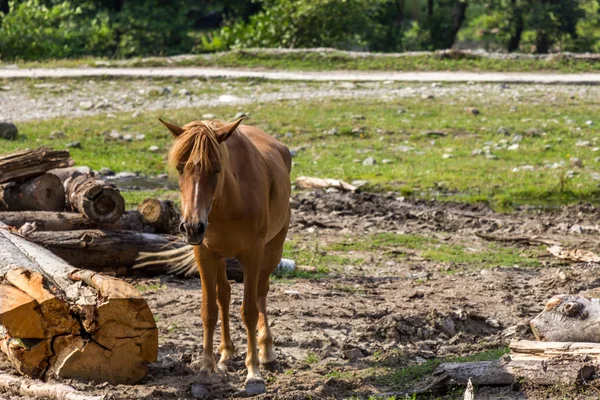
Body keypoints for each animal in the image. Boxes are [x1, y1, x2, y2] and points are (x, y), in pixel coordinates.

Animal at [158, 117, 292, 392]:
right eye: (180, 168)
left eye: (217, 169)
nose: (191, 227)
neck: (230, 201)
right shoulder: (205, 254)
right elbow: (209, 311)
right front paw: (206, 368)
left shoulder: (253, 255)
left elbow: (249, 311)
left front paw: (253, 373)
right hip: (220, 258)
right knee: (225, 296)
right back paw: (225, 355)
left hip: (273, 249)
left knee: (261, 295)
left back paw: (267, 353)